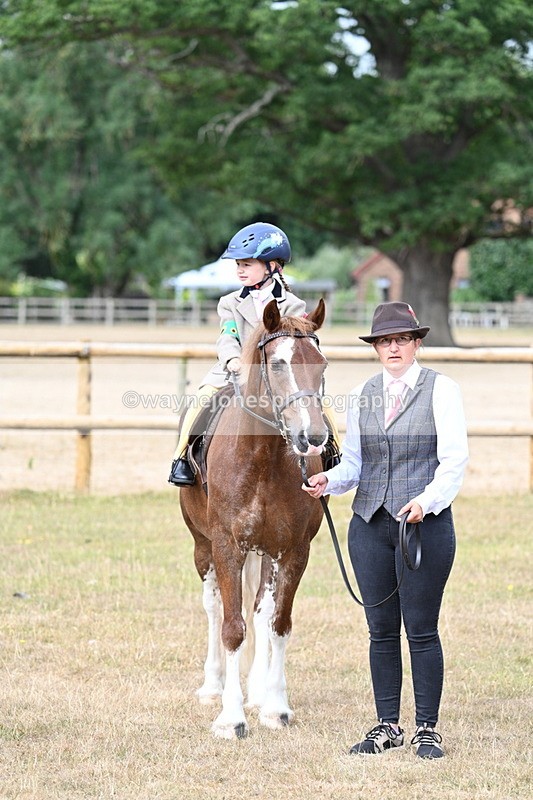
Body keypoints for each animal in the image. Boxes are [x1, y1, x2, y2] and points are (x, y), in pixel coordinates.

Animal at [179, 298, 329, 739]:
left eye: (322, 364)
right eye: (278, 364)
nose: (312, 437)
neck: (262, 460)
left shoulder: (294, 551)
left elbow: (278, 623)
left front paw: (275, 707)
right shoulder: (227, 547)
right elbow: (232, 628)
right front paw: (231, 717)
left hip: (266, 553)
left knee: (262, 613)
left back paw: (259, 691)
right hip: (203, 548)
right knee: (213, 608)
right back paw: (213, 687)